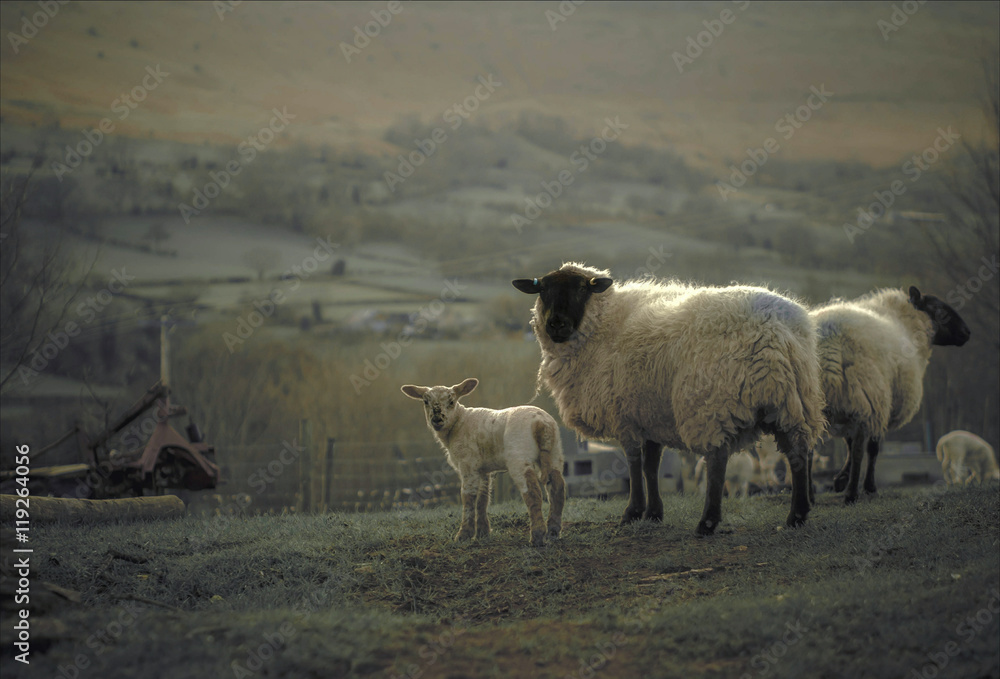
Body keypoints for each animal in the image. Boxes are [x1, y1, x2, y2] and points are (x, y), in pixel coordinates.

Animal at [402, 378, 568, 548]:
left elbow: (468, 497)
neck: (459, 422)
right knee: (557, 487)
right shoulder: (482, 469)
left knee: (533, 492)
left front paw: (464, 535)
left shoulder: (468, 463)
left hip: (519, 457)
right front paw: (483, 533)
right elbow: (483, 498)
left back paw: (537, 537)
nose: (437, 419)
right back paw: (553, 532)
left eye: (451, 401)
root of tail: (541, 423)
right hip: (555, 451)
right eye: (425, 401)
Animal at [512, 266, 824, 536]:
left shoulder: (624, 414)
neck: (603, 324)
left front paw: (633, 512)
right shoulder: (649, 413)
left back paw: (707, 522)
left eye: (581, 288)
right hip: (794, 400)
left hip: (712, 400)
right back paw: (797, 516)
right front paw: (653, 513)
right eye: (543, 290)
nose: (556, 324)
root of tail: (777, 328)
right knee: (799, 451)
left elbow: (634, 463)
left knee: (717, 460)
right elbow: (651, 466)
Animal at [812, 286, 968, 504]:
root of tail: (828, 340)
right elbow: (871, 448)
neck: (906, 322)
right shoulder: (881, 404)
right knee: (860, 449)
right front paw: (867, 486)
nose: (967, 332)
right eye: (939, 309)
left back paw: (810, 494)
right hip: (868, 393)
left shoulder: (853, 405)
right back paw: (852, 494)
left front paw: (840, 479)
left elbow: (849, 445)